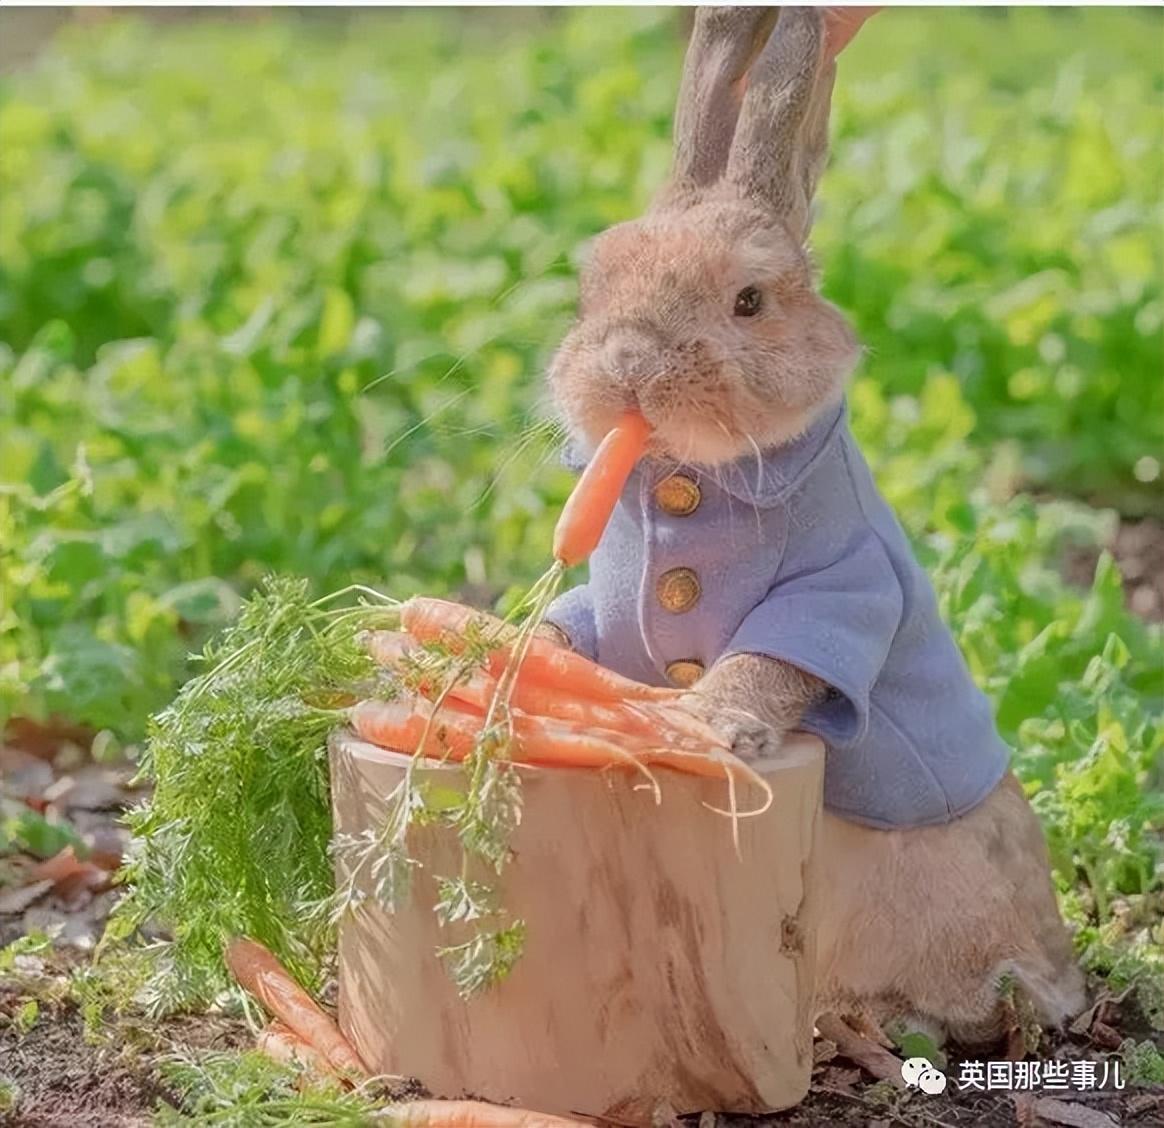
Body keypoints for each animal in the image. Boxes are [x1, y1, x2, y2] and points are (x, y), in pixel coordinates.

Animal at [540, 8, 1084, 1047]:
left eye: (748, 302)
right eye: (593, 289)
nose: (628, 364)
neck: (694, 479)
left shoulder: (839, 590)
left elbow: (775, 657)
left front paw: (712, 725)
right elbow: (572, 629)